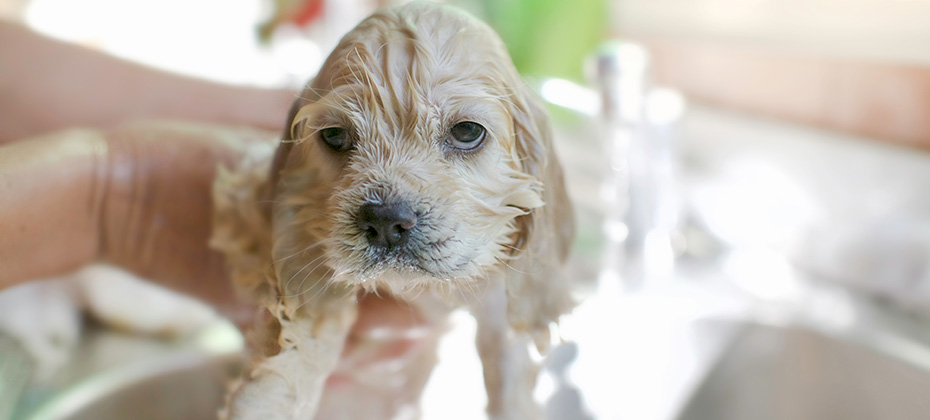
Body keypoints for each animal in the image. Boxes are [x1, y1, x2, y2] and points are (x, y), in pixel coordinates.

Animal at [211, 1, 572, 418]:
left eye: (467, 132)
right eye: (334, 135)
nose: (384, 222)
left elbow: (509, 373)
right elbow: (305, 308)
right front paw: (266, 398)